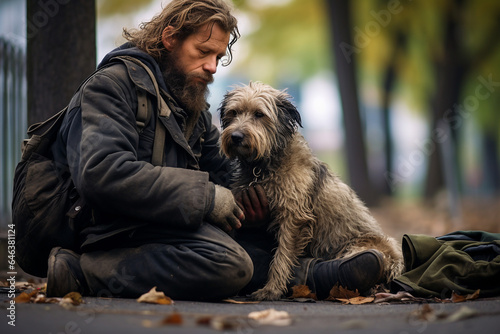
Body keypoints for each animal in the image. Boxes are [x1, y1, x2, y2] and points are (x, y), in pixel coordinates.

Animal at [218, 81, 402, 300]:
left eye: (259, 114)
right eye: (233, 112)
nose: (236, 136)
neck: (264, 165)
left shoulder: (294, 218)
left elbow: (282, 257)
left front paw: (271, 289)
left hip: (359, 246)